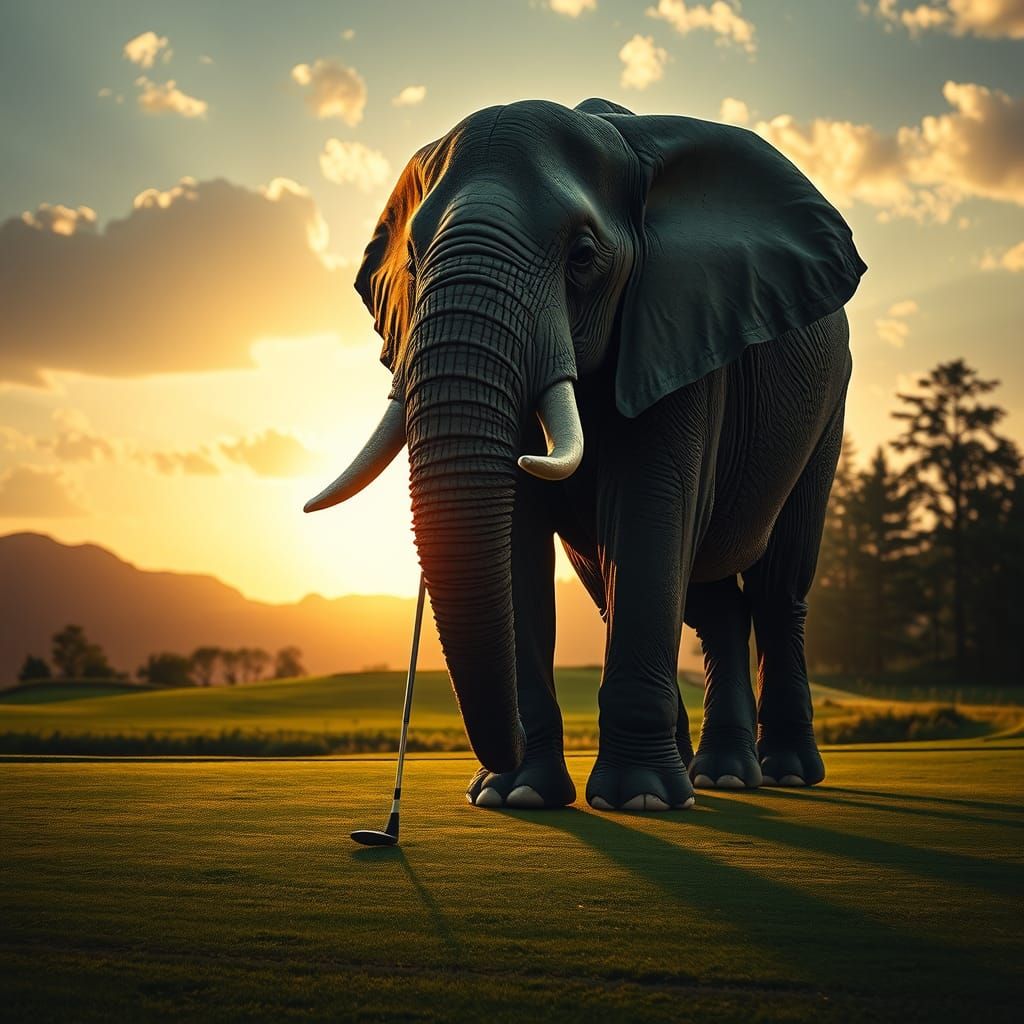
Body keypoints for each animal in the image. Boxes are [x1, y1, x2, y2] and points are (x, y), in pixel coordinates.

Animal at [306, 98, 866, 812]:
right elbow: (518, 534)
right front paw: (515, 795)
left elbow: (650, 508)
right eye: (411, 263)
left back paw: (780, 773)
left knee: (777, 586)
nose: (389, 826)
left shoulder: (677, 329)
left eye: (582, 256)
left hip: (828, 408)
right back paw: (717, 777)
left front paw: (638, 799)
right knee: (703, 602)